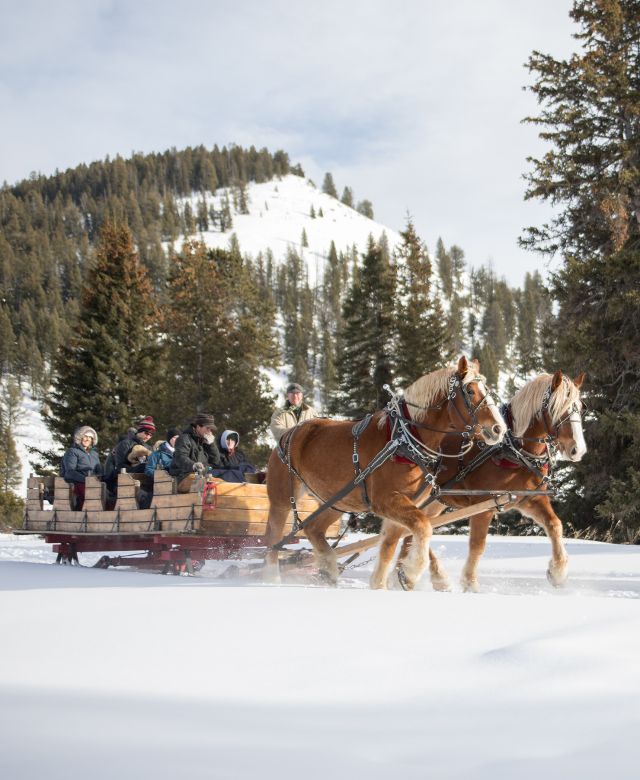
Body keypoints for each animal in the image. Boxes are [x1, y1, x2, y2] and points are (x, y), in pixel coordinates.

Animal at [262, 356, 508, 588]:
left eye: (487, 390)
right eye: (470, 391)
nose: (499, 428)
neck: (406, 439)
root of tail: (288, 434)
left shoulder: (407, 502)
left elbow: (390, 543)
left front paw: (380, 584)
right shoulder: (385, 500)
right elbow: (423, 527)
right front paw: (410, 574)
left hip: (336, 501)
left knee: (313, 528)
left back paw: (329, 569)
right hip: (283, 498)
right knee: (274, 537)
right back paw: (272, 577)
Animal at [388, 370, 588, 592]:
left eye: (580, 408)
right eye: (556, 407)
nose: (578, 449)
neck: (512, 450)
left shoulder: (530, 499)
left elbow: (555, 525)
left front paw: (558, 573)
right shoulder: (484, 504)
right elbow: (477, 545)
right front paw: (470, 583)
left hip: (435, 501)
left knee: (410, 529)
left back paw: (403, 575)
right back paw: (423, 575)